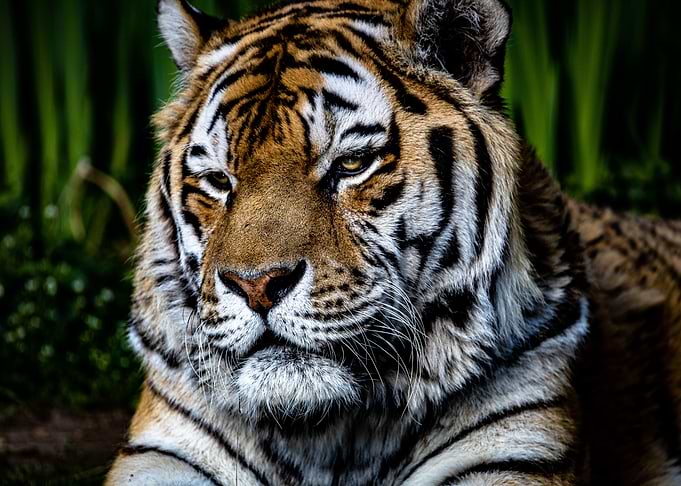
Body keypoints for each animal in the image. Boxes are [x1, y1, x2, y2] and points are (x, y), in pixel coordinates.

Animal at [107, 0, 681, 484]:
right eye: (219, 181)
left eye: (352, 164)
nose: (257, 285)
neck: (327, 433)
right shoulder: (163, 453)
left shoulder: (515, 447)